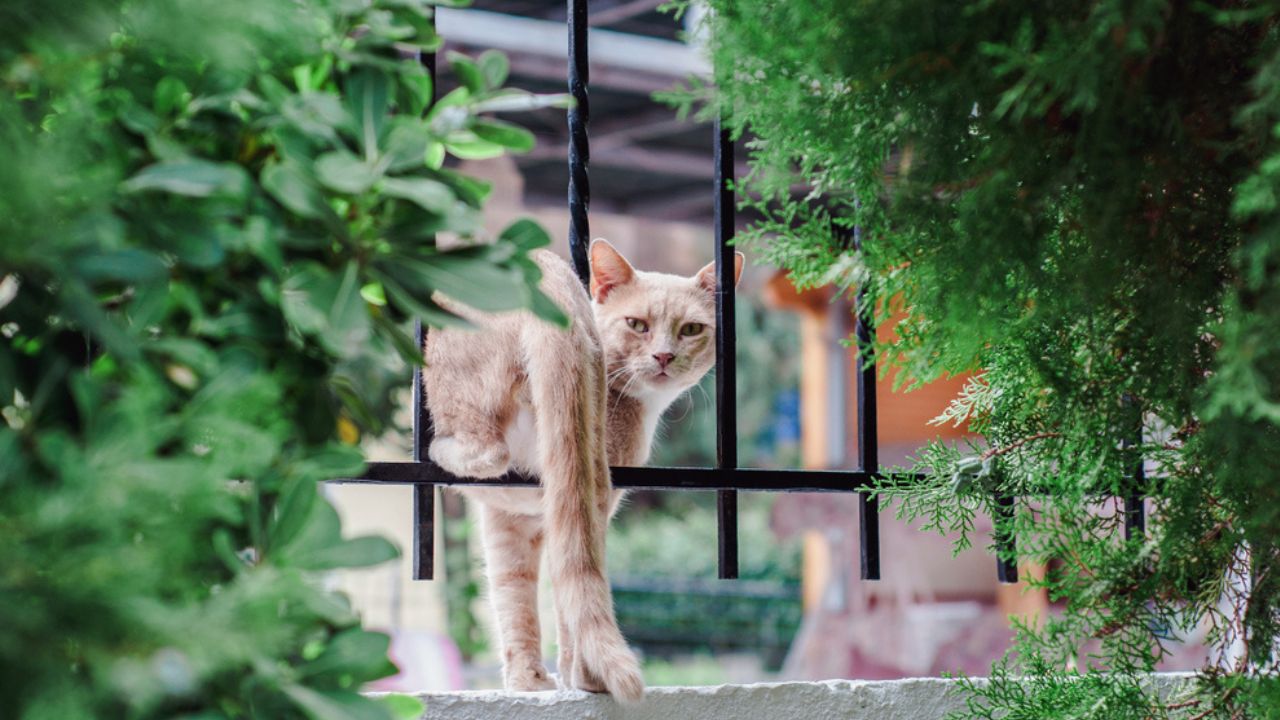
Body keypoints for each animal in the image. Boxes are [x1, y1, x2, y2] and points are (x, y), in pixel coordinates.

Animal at [422, 238, 742, 696]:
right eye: (637, 324)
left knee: (487, 453)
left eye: (691, 330)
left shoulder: (520, 516)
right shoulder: (530, 515)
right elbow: (524, 597)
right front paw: (546, 679)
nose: (665, 355)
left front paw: (546, 679)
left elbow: (523, 596)